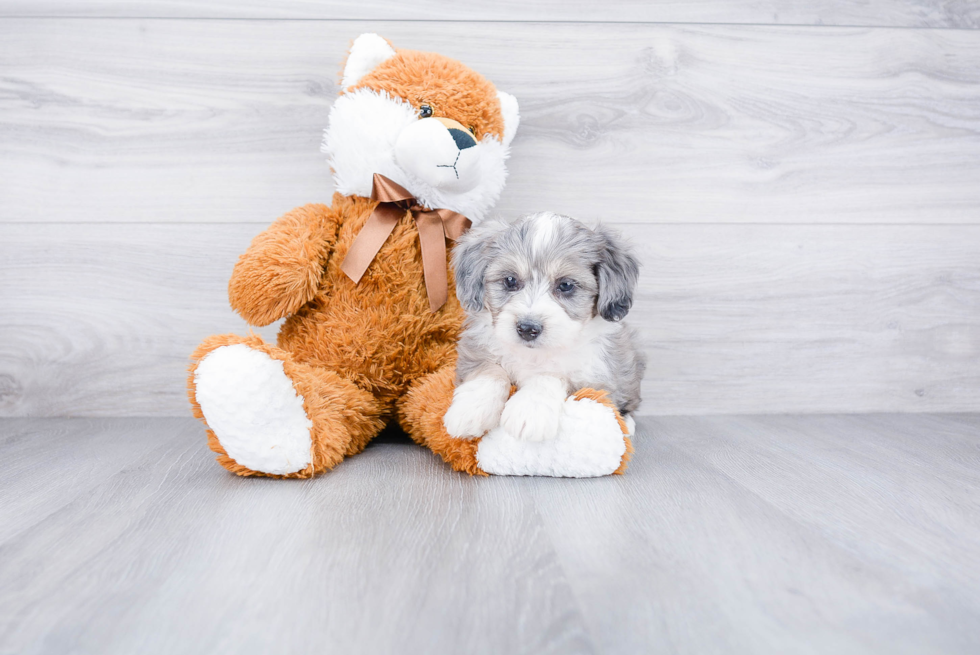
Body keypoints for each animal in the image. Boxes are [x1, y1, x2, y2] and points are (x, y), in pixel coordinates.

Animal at [442, 213, 644, 444]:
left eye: (565, 285)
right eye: (510, 280)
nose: (527, 328)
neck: (535, 354)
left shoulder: (592, 377)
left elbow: (552, 375)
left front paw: (529, 410)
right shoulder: (478, 347)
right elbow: (489, 370)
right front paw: (471, 409)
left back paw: (626, 424)